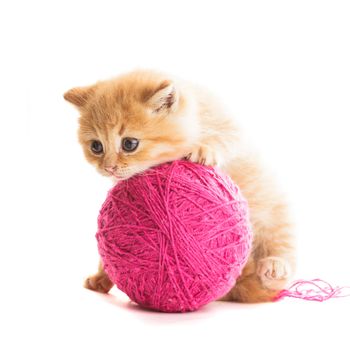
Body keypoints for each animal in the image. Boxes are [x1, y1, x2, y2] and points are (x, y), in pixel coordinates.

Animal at [64, 69, 294, 302]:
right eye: (96, 146)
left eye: (129, 144)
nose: (109, 168)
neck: (197, 116)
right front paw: (102, 275)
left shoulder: (231, 130)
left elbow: (225, 140)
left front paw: (205, 149)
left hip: (274, 214)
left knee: (280, 264)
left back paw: (273, 267)